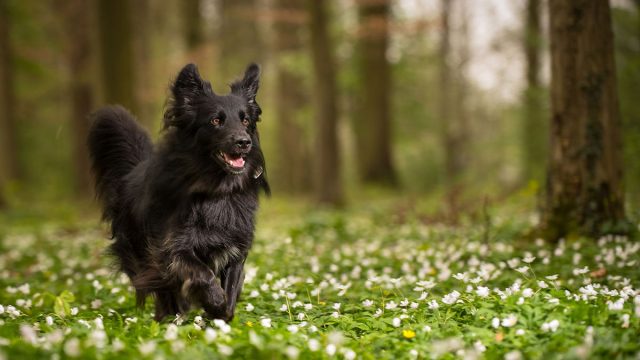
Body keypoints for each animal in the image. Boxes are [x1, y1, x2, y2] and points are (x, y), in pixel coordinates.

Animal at [87, 62, 268, 320]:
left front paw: (220, 312)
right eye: (216, 121)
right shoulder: (171, 249)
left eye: (245, 121)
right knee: (165, 292)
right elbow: (203, 274)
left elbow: (231, 292)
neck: (216, 190)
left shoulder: (235, 251)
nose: (244, 142)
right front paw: (213, 300)